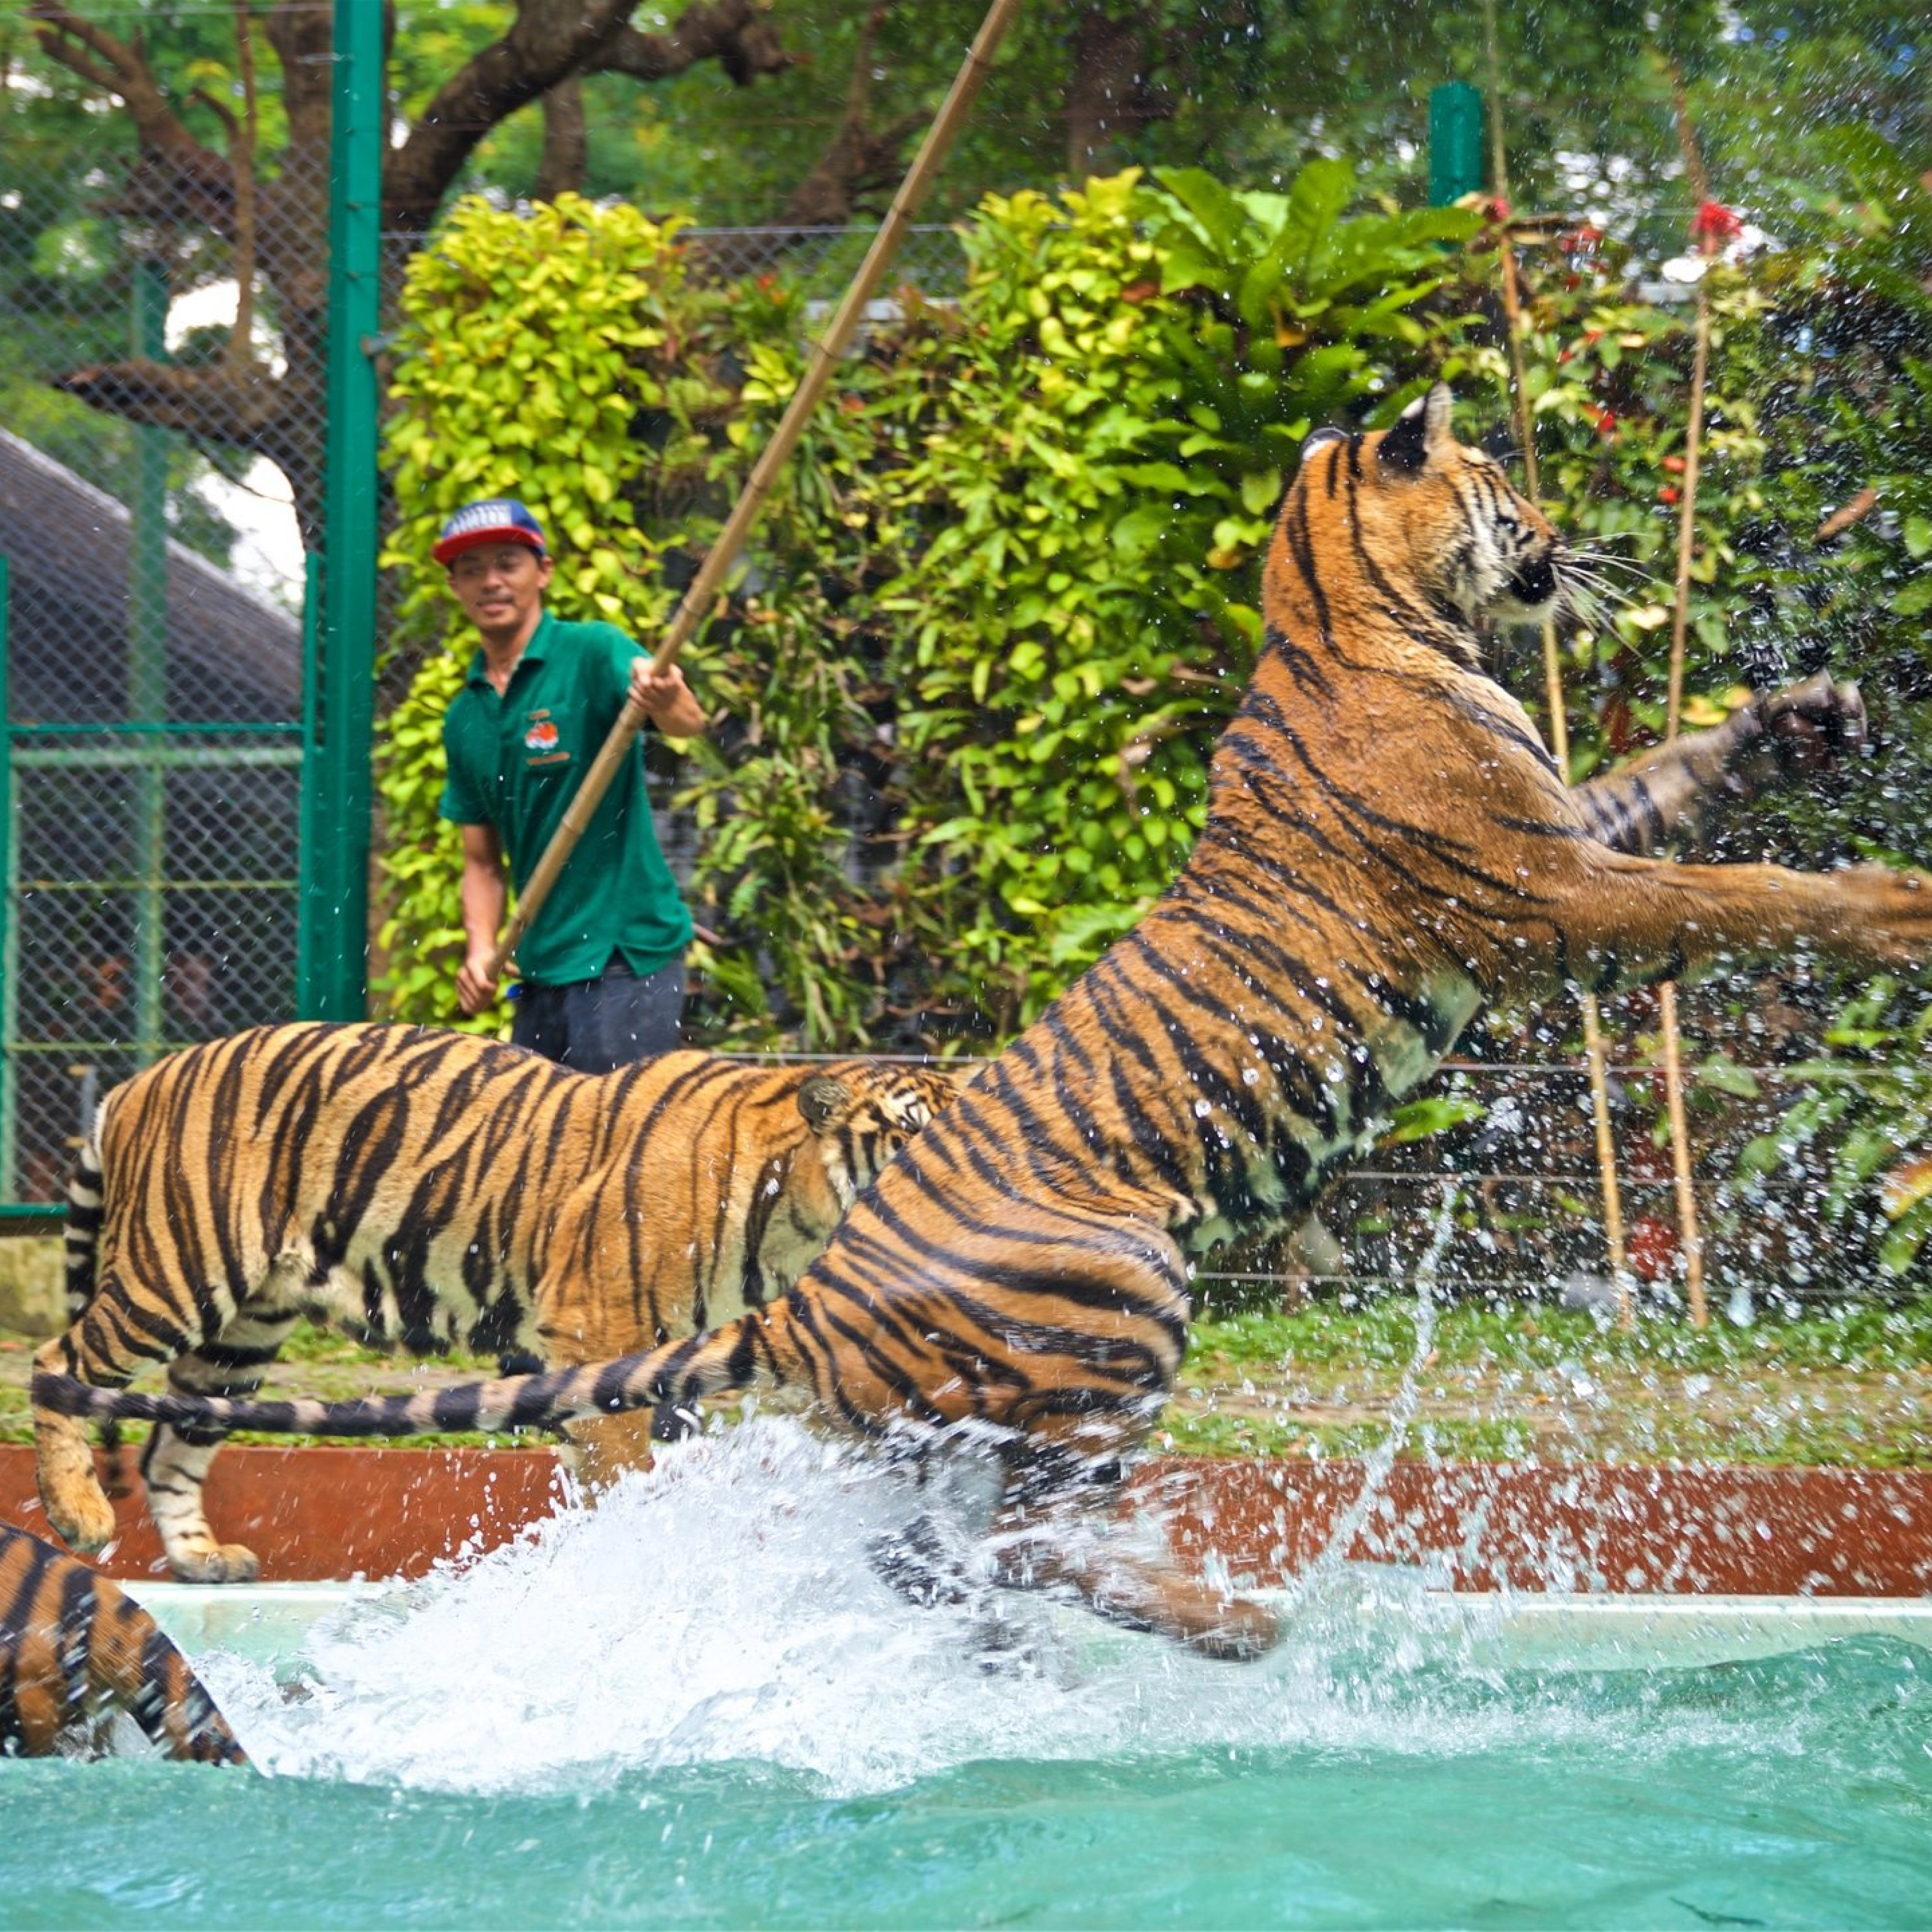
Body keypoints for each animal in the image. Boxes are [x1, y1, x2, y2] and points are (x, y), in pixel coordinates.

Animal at [32, 1022, 961, 1583]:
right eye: (909, 1132)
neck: (793, 1218)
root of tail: (137, 1081)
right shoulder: (599, 1331)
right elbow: (621, 1464)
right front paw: (626, 1555)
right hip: (175, 1271)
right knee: (57, 1363)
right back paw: (78, 1514)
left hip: (244, 1332)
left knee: (173, 1440)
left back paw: (201, 1560)